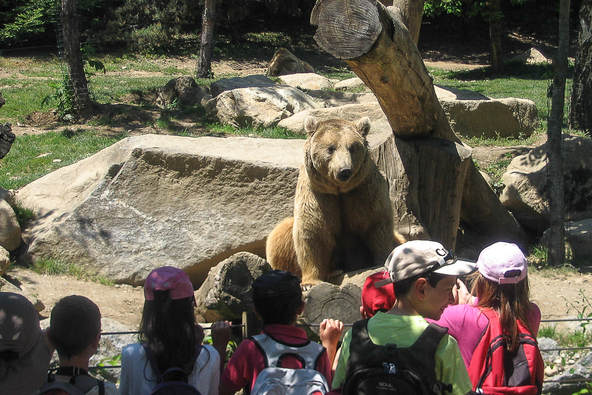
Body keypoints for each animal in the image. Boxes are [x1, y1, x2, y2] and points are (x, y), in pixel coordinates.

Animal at [266, 115, 404, 284]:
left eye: (352, 147)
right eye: (331, 148)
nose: (344, 170)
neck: (339, 189)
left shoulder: (364, 191)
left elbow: (376, 224)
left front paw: (381, 261)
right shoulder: (319, 195)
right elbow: (313, 232)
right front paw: (310, 282)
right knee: (279, 235)